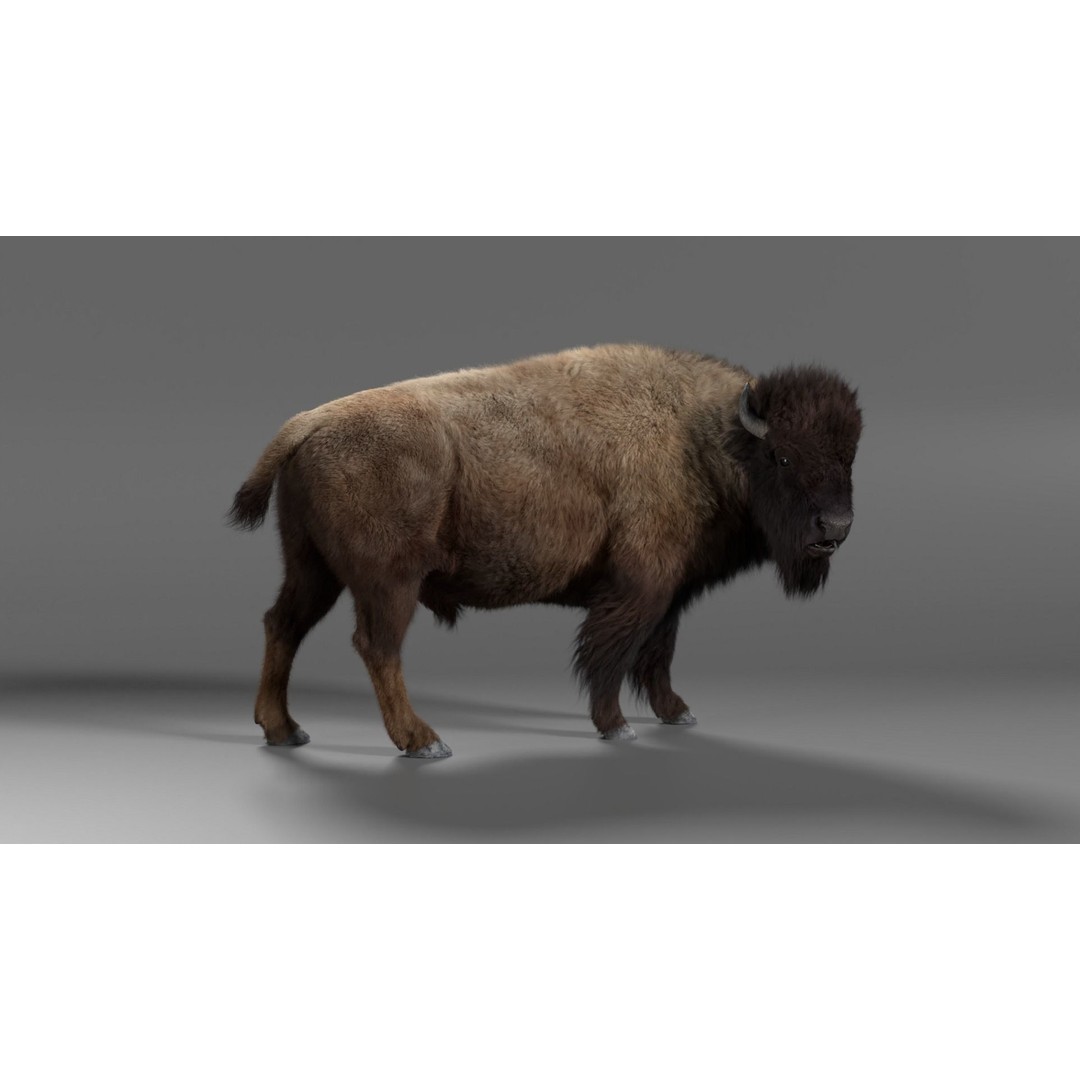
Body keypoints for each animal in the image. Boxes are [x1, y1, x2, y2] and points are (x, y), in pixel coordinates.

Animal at [228, 344, 862, 758]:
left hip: (312, 569)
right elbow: (612, 654)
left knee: (282, 624)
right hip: (389, 584)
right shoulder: (639, 585)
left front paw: (676, 712)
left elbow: (658, 653)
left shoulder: (671, 591)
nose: (836, 526)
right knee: (376, 646)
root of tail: (310, 422)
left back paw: (284, 730)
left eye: (849, 456)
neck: (704, 436)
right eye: (782, 456)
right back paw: (423, 742)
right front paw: (615, 726)